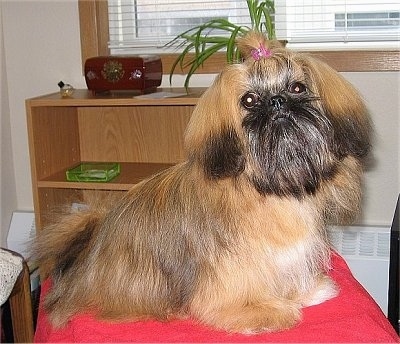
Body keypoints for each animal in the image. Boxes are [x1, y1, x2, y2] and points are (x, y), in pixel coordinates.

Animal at [32, 31, 372, 334]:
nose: (277, 102)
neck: (269, 188)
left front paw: (306, 291)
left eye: (298, 87)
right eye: (249, 100)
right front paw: (260, 311)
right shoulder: (231, 263)